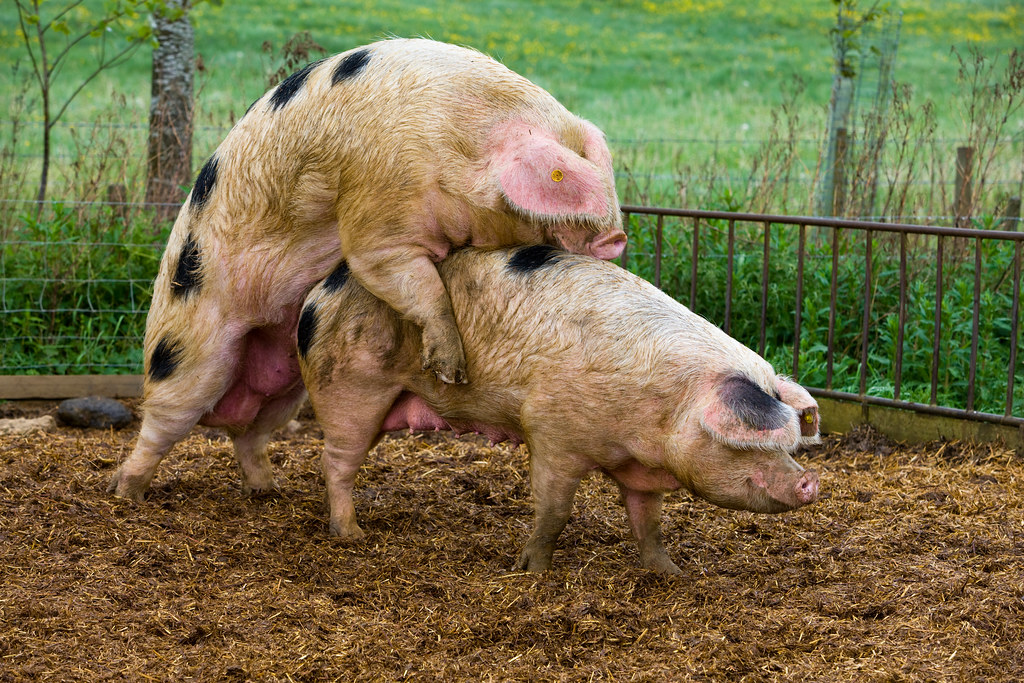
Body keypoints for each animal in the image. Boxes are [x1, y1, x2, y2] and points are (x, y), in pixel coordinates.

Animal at [108, 38, 626, 501]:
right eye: (562, 185)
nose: (617, 239)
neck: (460, 143)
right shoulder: (379, 200)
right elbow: (390, 268)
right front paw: (451, 370)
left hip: (285, 380)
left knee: (251, 432)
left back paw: (268, 490)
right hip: (192, 345)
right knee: (164, 418)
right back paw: (127, 493)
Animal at [299, 246, 819, 577]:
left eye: (790, 446)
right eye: (749, 442)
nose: (809, 481)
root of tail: (317, 293)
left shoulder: (639, 469)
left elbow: (648, 523)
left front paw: (674, 573)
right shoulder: (550, 432)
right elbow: (554, 510)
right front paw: (531, 571)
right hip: (351, 387)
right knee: (335, 461)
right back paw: (351, 535)